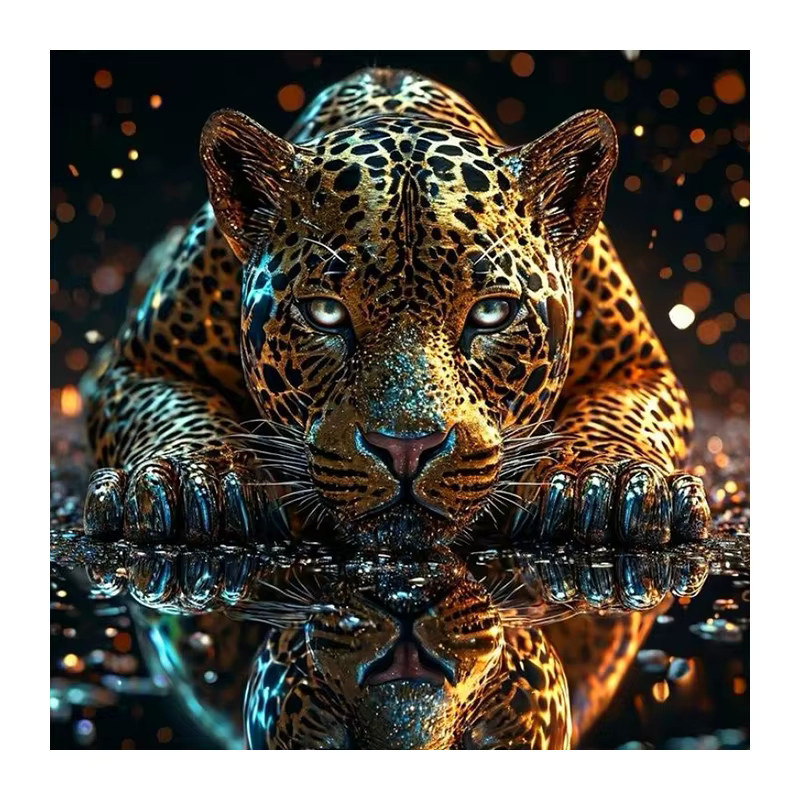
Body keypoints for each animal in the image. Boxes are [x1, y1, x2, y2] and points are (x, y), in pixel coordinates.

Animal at [82, 66, 711, 551]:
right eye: (325, 314)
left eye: (492, 315)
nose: (405, 449)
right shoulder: (143, 365)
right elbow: (177, 413)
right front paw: (194, 480)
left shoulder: (636, 367)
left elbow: (613, 417)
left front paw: (603, 481)